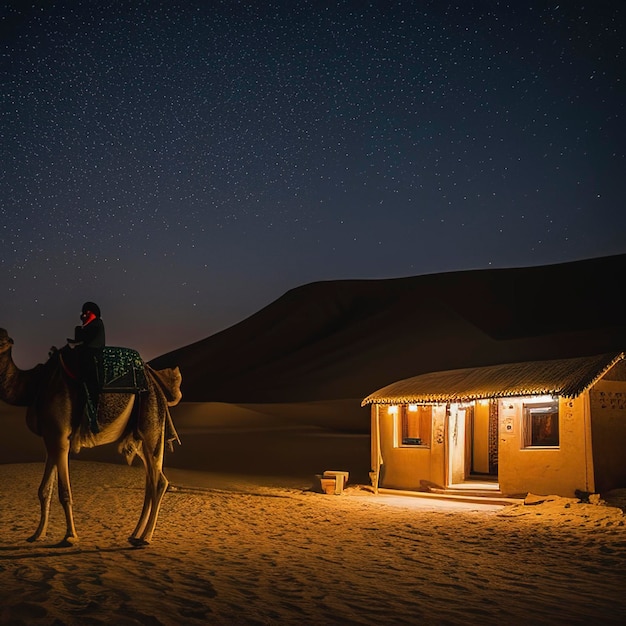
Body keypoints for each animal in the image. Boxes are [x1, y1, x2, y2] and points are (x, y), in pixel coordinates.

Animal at [0, 330, 182, 544]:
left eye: (2, 341)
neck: (36, 383)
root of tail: (158, 385)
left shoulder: (60, 437)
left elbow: (64, 493)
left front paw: (70, 536)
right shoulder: (51, 438)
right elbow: (44, 491)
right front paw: (37, 535)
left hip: (151, 422)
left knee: (159, 481)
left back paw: (145, 538)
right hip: (141, 438)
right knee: (150, 481)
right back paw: (135, 535)